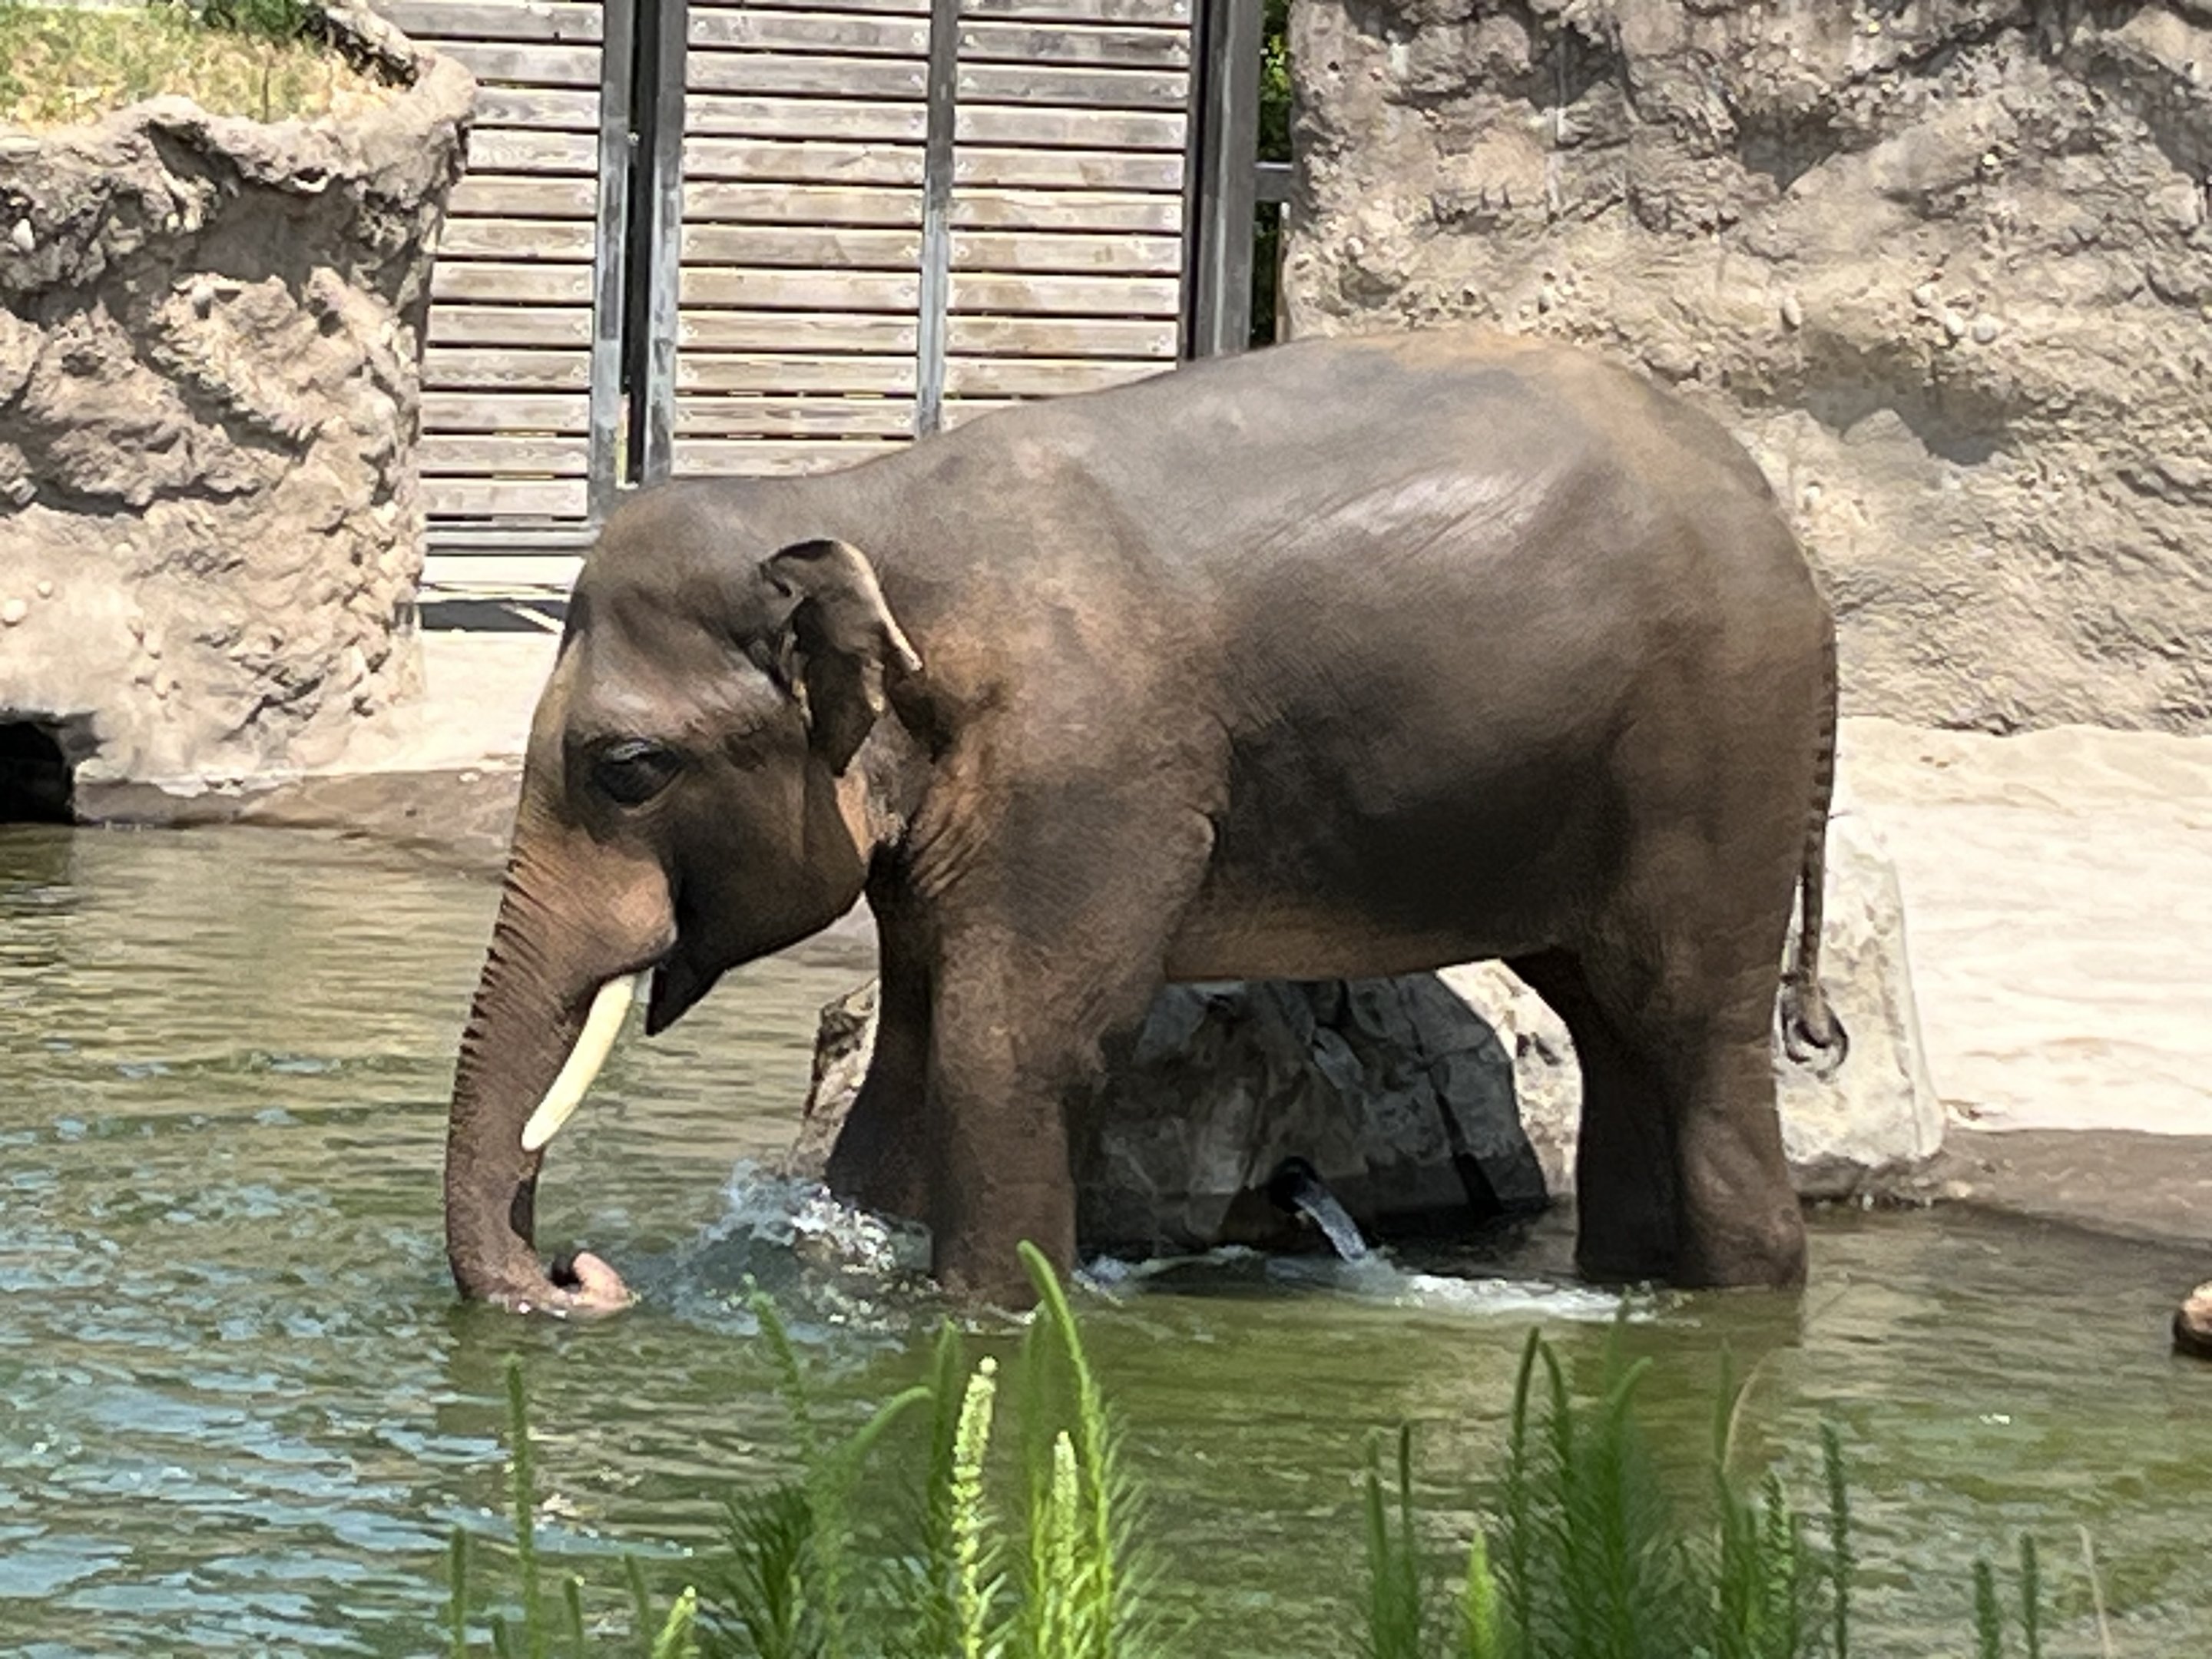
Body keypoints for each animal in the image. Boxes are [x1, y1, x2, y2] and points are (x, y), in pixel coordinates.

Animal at [442, 325, 1852, 1316]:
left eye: (627, 768)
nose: (578, 1273)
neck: (867, 507)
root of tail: (1786, 533)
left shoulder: (1086, 771)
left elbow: (1006, 1049)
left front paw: (995, 1319)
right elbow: (910, 1058)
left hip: (1716, 755)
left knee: (1689, 1034)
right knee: (1613, 1035)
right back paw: (1626, 1283)